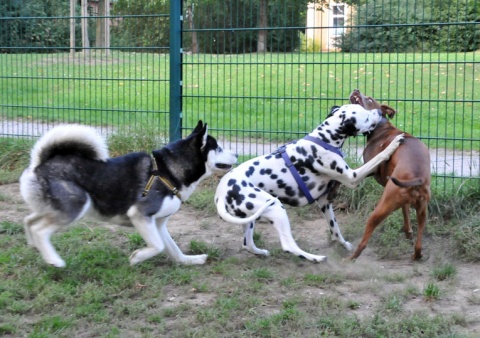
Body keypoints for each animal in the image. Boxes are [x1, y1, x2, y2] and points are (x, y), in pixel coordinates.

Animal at [215, 104, 404, 262]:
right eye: (365, 116)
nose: (379, 112)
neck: (324, 140)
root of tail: (220, 195)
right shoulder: (353, 177)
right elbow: (378, 157)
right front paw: (394, 144)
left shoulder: (325, 202)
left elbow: (336, 231)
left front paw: (345, 245)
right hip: (276, 208)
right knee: (288, 245)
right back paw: (314, 258)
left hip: (250, 219)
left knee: (247, 244)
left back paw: (261, 252)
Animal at [348, 88, 432, 260]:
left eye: (370, 99)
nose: (356, 90)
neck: (379, 126)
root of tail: (418, 179)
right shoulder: (403, 201)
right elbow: (405, 211)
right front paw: (408, 231)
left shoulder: (369, 168)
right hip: (422, 210)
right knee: (419, 241)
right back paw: (416, 254)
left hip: (383, 205)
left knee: (370, 227)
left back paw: (353, 256)